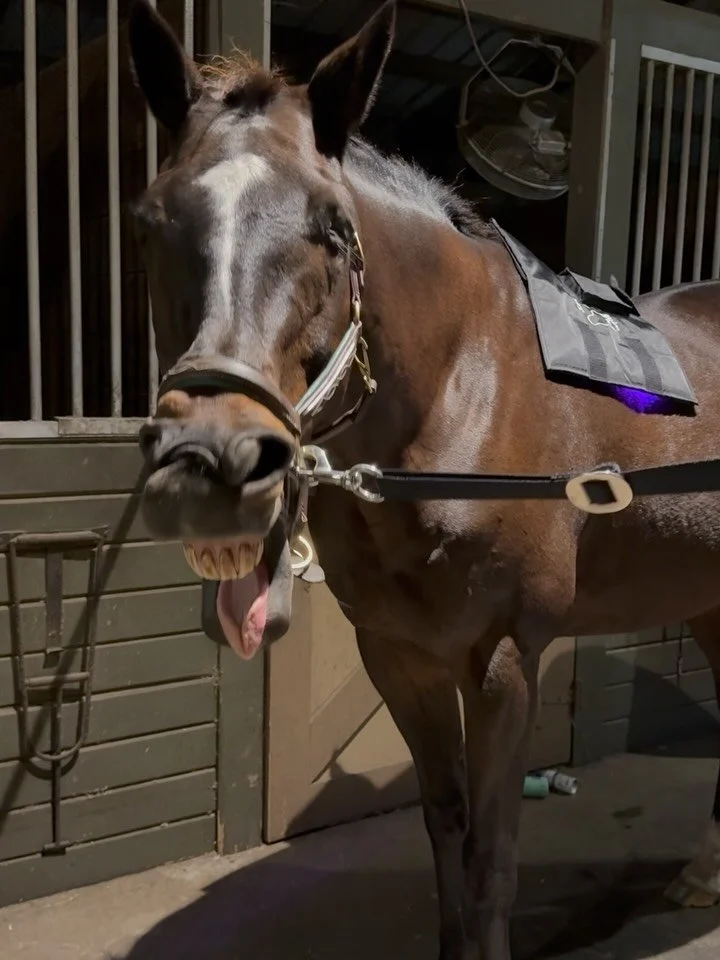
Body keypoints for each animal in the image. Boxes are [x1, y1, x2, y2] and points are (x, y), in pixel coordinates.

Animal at [128, 2, 720, 957]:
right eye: (148, 222)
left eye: (334, 226)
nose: (211, 468)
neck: (461, 388)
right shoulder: (398, 658)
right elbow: (447, 830)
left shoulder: (504, 661)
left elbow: (492, 858)